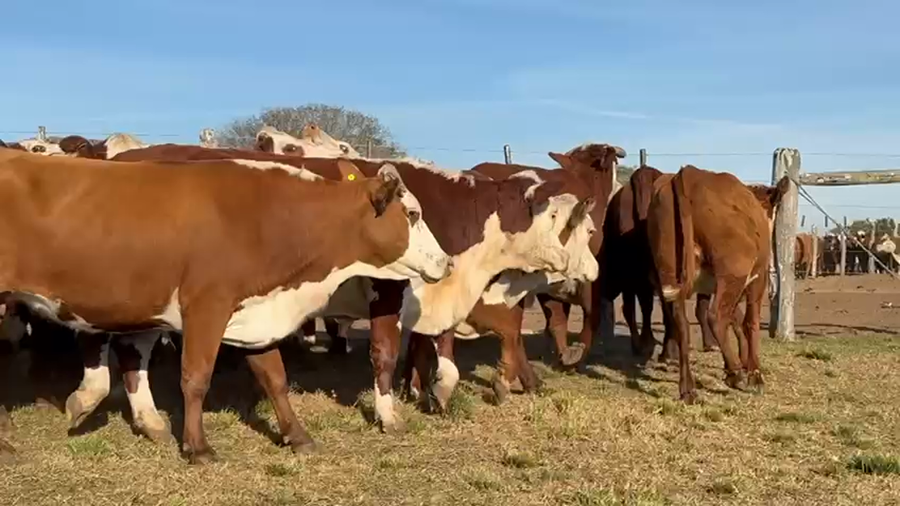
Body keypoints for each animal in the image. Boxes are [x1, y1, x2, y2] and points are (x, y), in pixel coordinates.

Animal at [0, 148, 452, 463]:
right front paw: (197, 447)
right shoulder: (206, 306)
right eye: (413, 213)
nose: (446, 262)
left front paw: (298, 436)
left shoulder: (255, 312)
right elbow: (195, 379)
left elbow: (275, 379)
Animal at [106, 144, 575, 429]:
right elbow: (386, 354)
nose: (570, 264)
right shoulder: (388, 287)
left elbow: (435, 352)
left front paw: (433, 392)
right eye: (555, 217)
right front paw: (389, 413)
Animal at [647, 164, 789, 402]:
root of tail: (688, 174)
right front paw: (754, 373)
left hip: (671, 274)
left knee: (682, 324)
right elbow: (749, 322)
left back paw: (688, 388)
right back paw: (735, 374)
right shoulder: (756, 280)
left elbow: (735, 319)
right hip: (733, 274)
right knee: (715, 316)